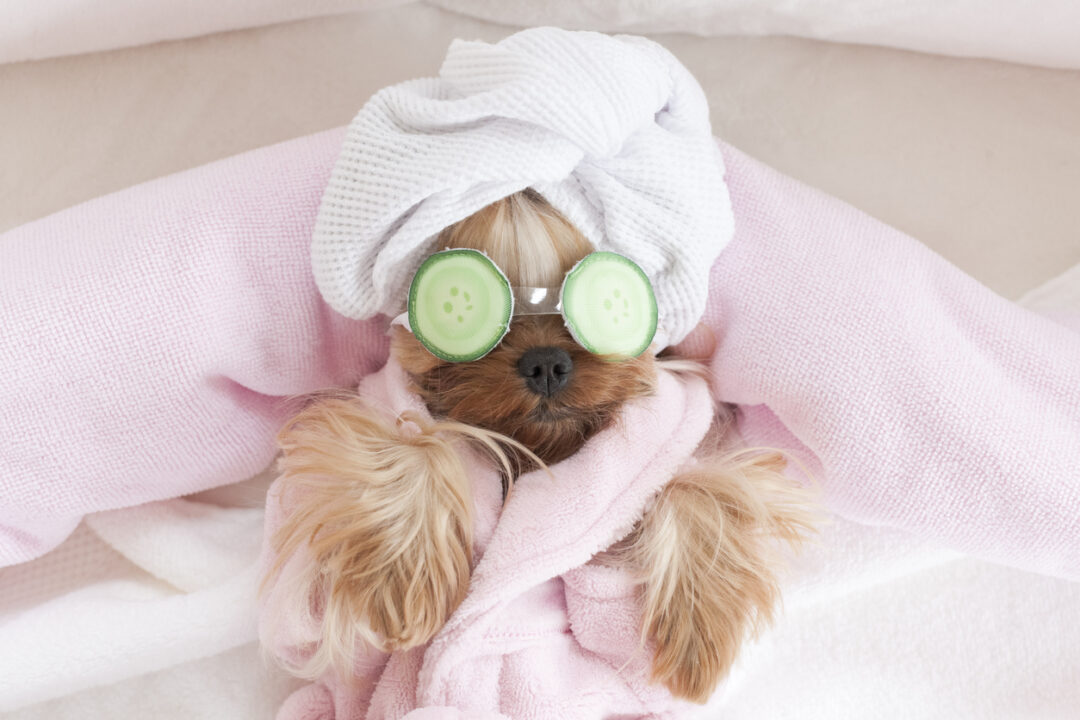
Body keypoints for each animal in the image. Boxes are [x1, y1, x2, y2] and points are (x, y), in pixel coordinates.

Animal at [265, 189, 812, 703]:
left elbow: (695, 486)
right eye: (459, 307)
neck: (537, 453)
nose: (546, 363)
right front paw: (405, 574)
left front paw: (699, 622)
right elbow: (407, 439)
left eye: (607, 303)